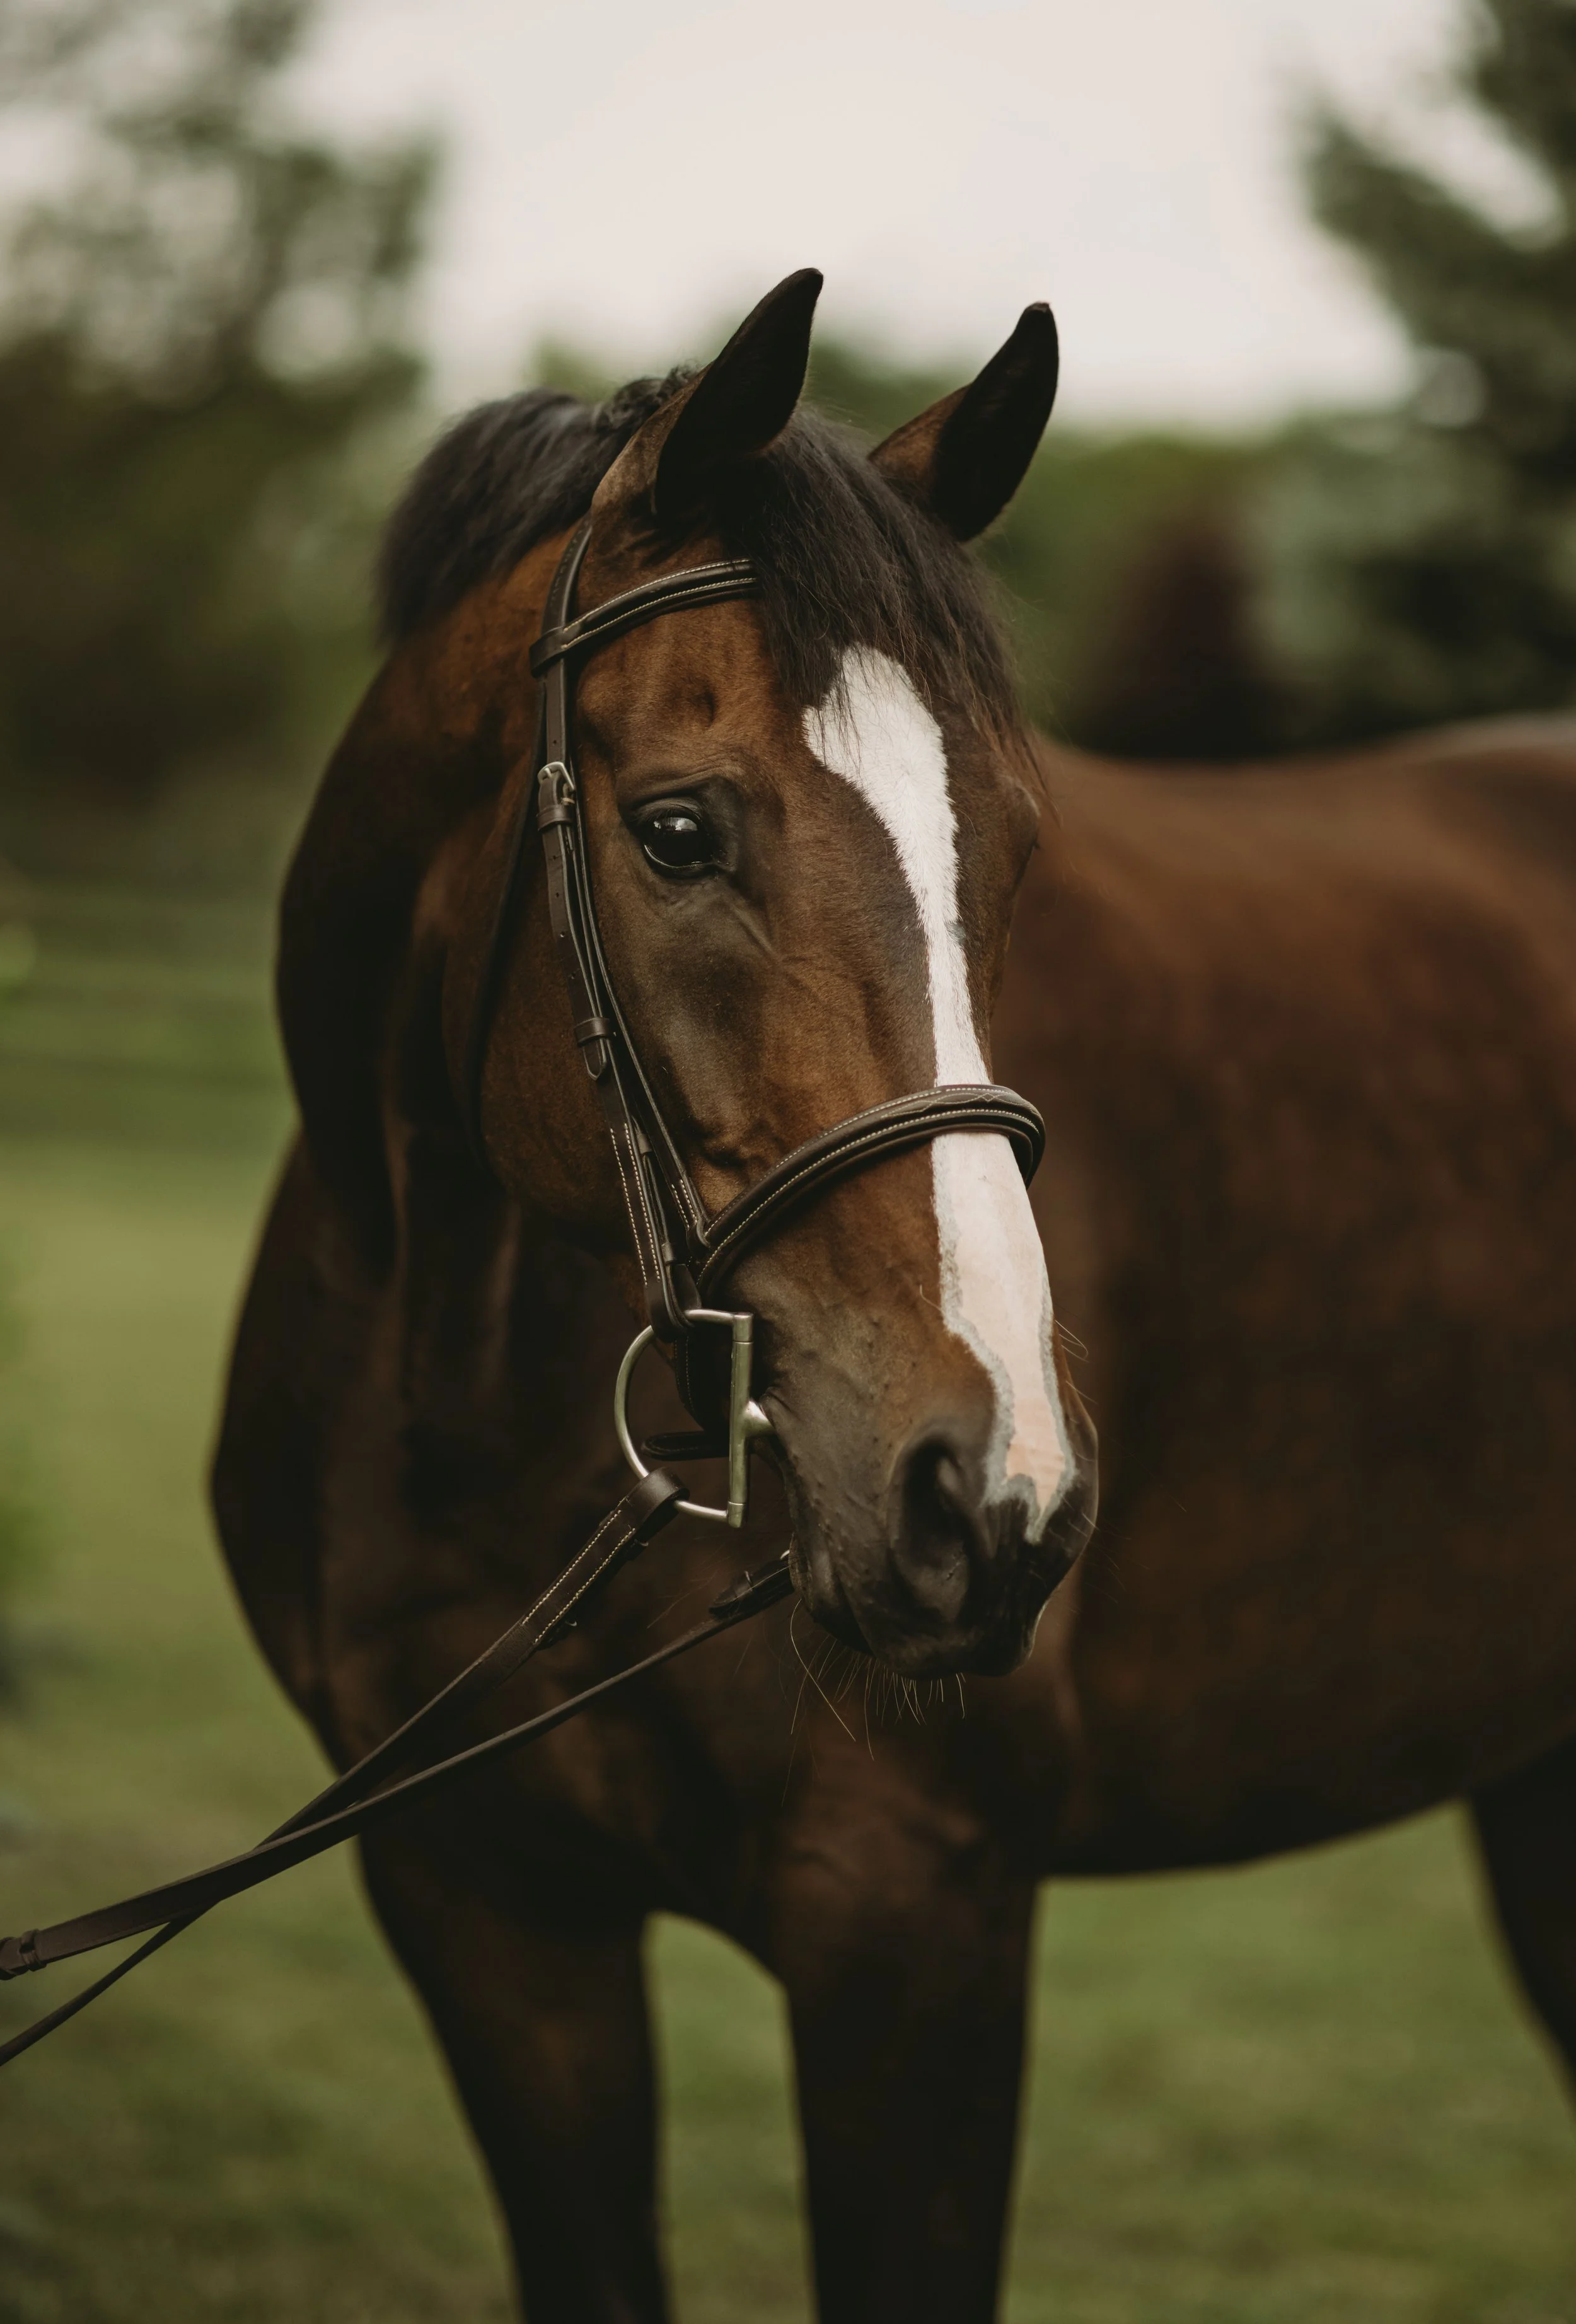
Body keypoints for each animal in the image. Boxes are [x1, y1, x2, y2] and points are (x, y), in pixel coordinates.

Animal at [212, 269, 1576, 2321]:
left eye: (1008, 849)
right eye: (678, 828)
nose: (989, 1491)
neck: (457, 1383)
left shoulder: (913, 1919)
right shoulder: (484, 1904)